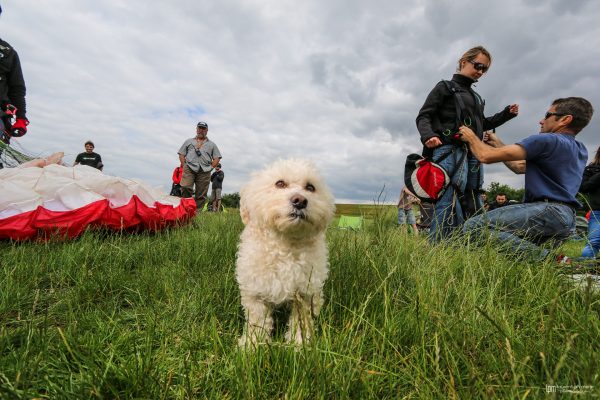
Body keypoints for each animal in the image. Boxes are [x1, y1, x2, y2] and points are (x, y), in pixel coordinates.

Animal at [236, 159, 338, 346]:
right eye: (280, 183)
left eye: (310, 187)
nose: (300, 201)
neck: (285, 246)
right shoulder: (256, 293)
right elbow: (257, 322)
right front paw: (251, 345)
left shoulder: (305, 294)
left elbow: (301, 323)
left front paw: (300, 344)